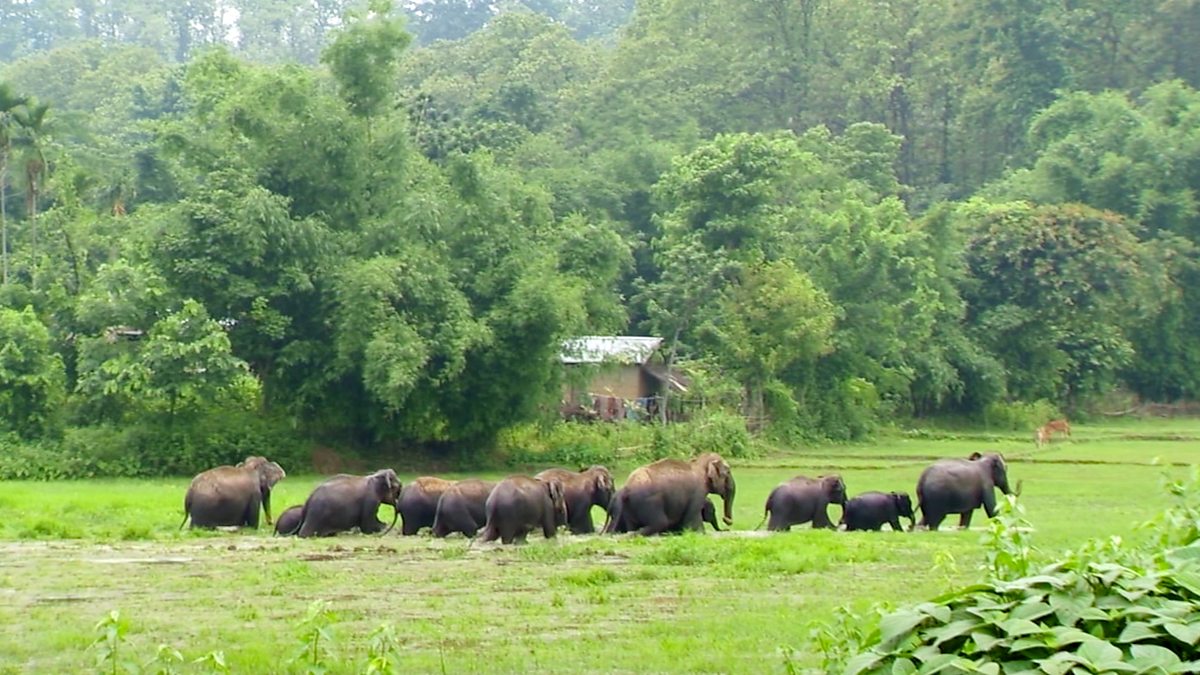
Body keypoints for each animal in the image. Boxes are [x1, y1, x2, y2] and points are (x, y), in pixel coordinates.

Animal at [602, 453, 735, 536]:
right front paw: (700, 533)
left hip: (631, 506)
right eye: (728, 472)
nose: (727, 520)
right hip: (649, 502)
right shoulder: (698, 492)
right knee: (661, 522)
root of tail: (626, 487)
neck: (698, 463)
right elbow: (693, 517)